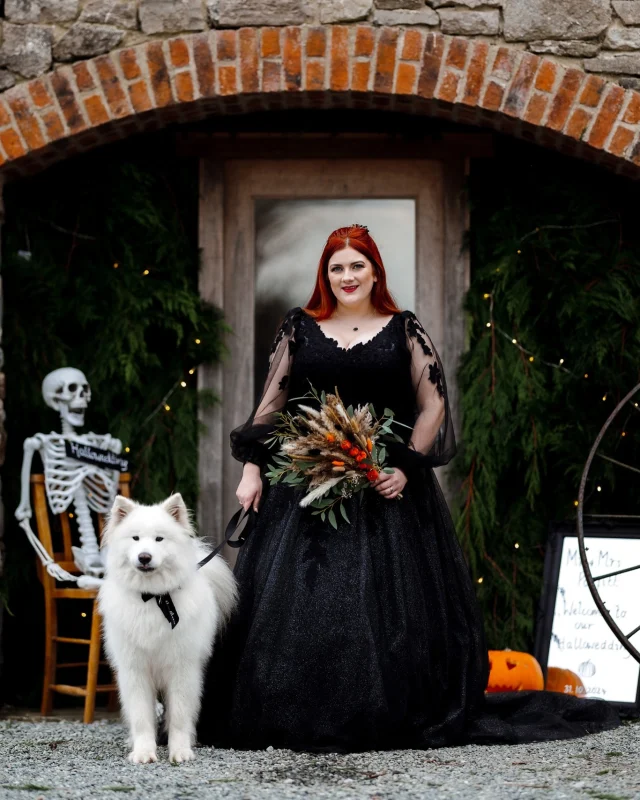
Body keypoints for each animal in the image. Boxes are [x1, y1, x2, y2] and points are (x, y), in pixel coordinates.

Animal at [99, 494, 239, 764]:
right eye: (135, 538)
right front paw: (143, 752)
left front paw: (180, 751)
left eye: (159, 539)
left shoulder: (182, 668)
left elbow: (180, 716)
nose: (144, 557)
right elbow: (141, 716)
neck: (153, 598)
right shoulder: (135, 670)